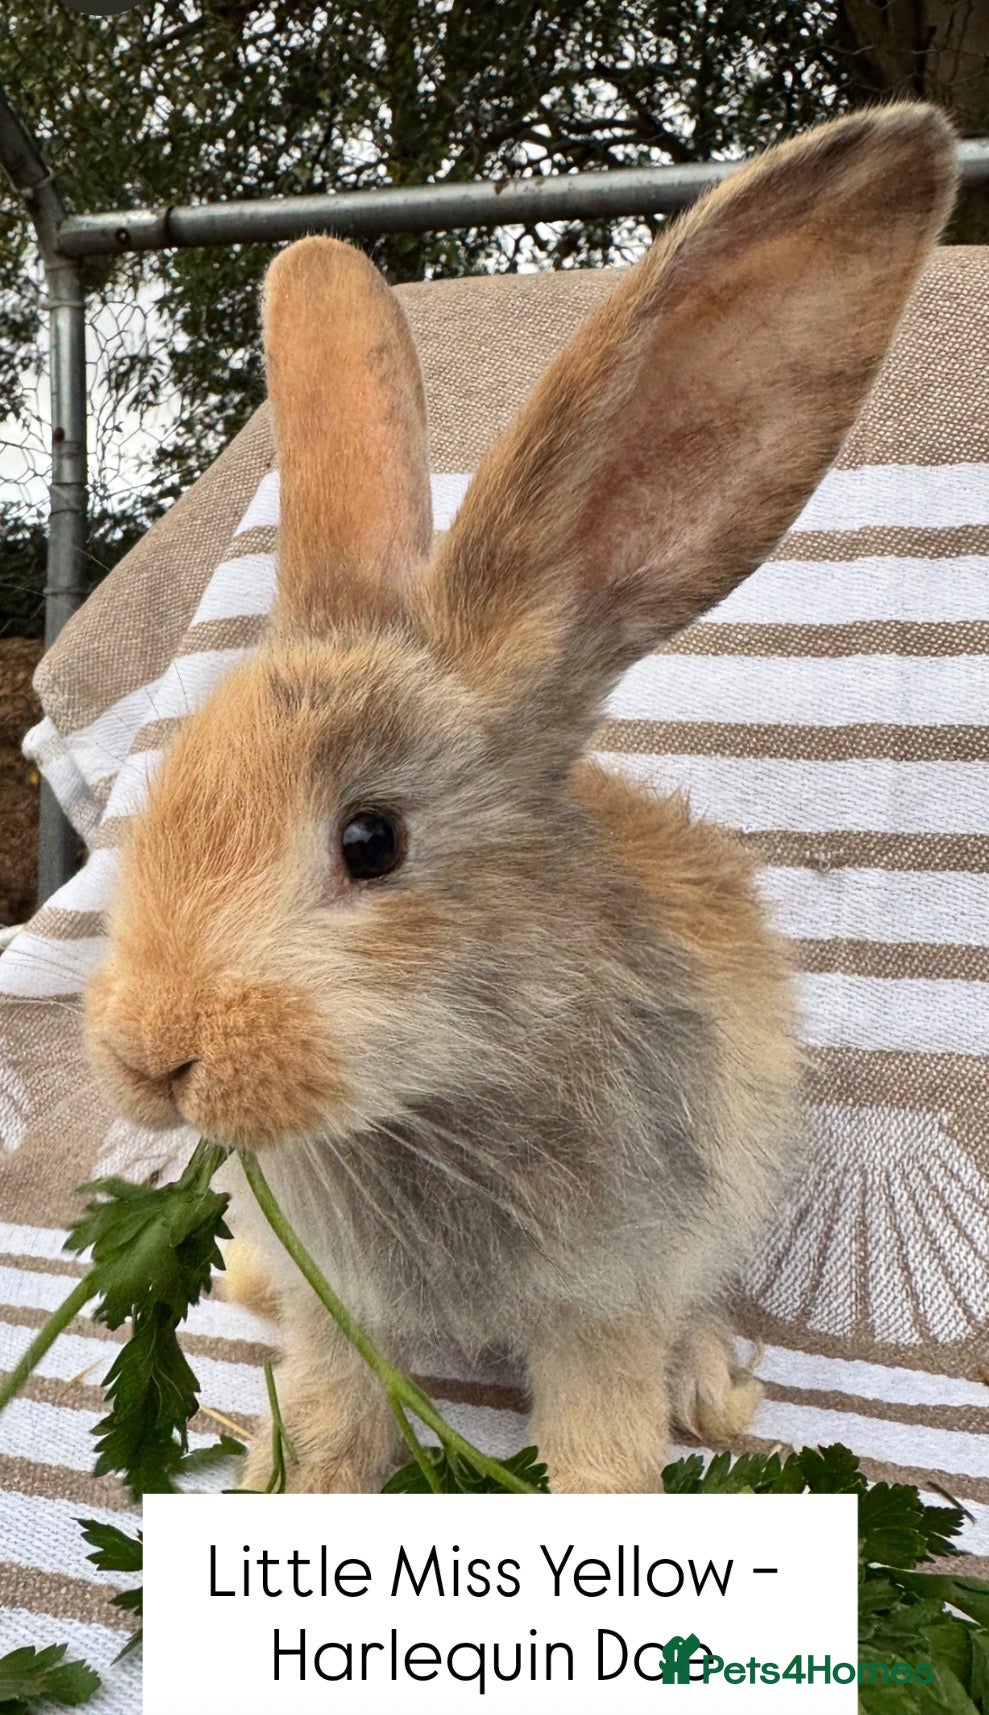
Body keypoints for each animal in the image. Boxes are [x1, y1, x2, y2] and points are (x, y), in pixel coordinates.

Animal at [84, 103, 957, 1495]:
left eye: (371, 840)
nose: (148, 1054)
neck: (437, 1087)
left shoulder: (609, 1293)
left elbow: (598, 1434)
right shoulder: (342, 1313)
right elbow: (332, 1412)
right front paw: (291, 1481)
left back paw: (713, 1387)